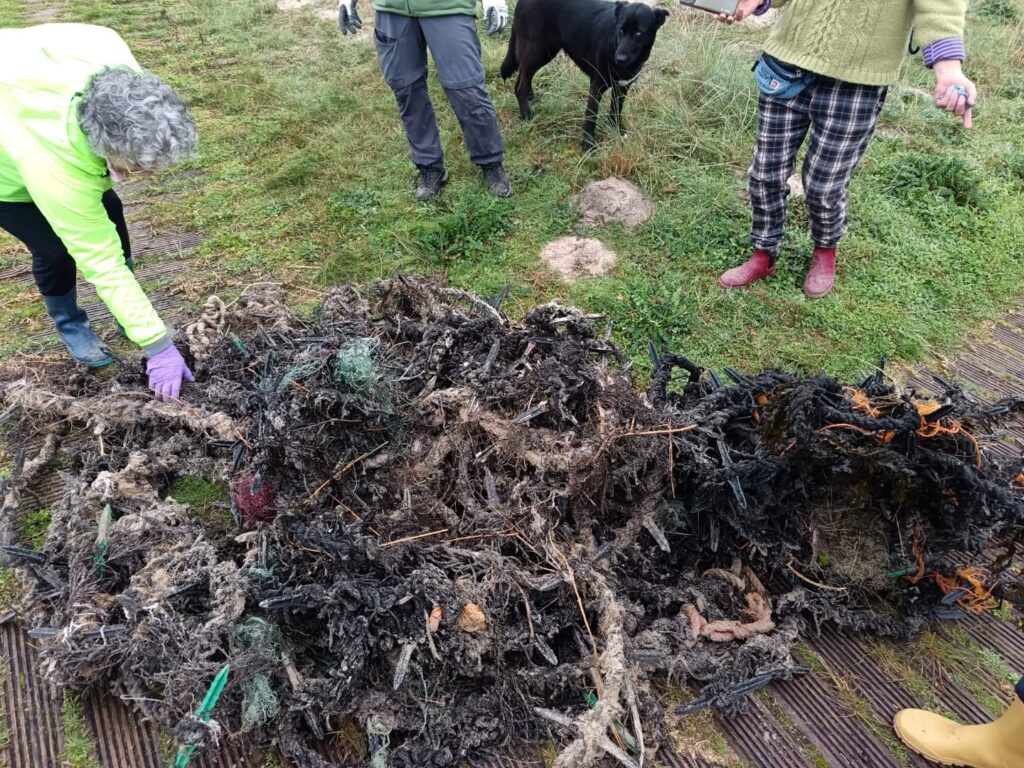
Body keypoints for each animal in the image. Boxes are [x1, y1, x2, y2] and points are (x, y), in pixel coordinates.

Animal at [499, 0, 667, 151]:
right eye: (620, 30)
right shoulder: (596, 86)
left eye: (639, 33)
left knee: (525, 76)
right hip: (537, 51)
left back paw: (531, 99)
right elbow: (591, 116)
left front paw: (616, 131)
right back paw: (526, 113)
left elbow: (615, 111)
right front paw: (588, 145)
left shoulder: (621, 88)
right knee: (520, 83)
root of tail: (521, 1)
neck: (614, 43)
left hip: (546, 51)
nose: (619, 58)